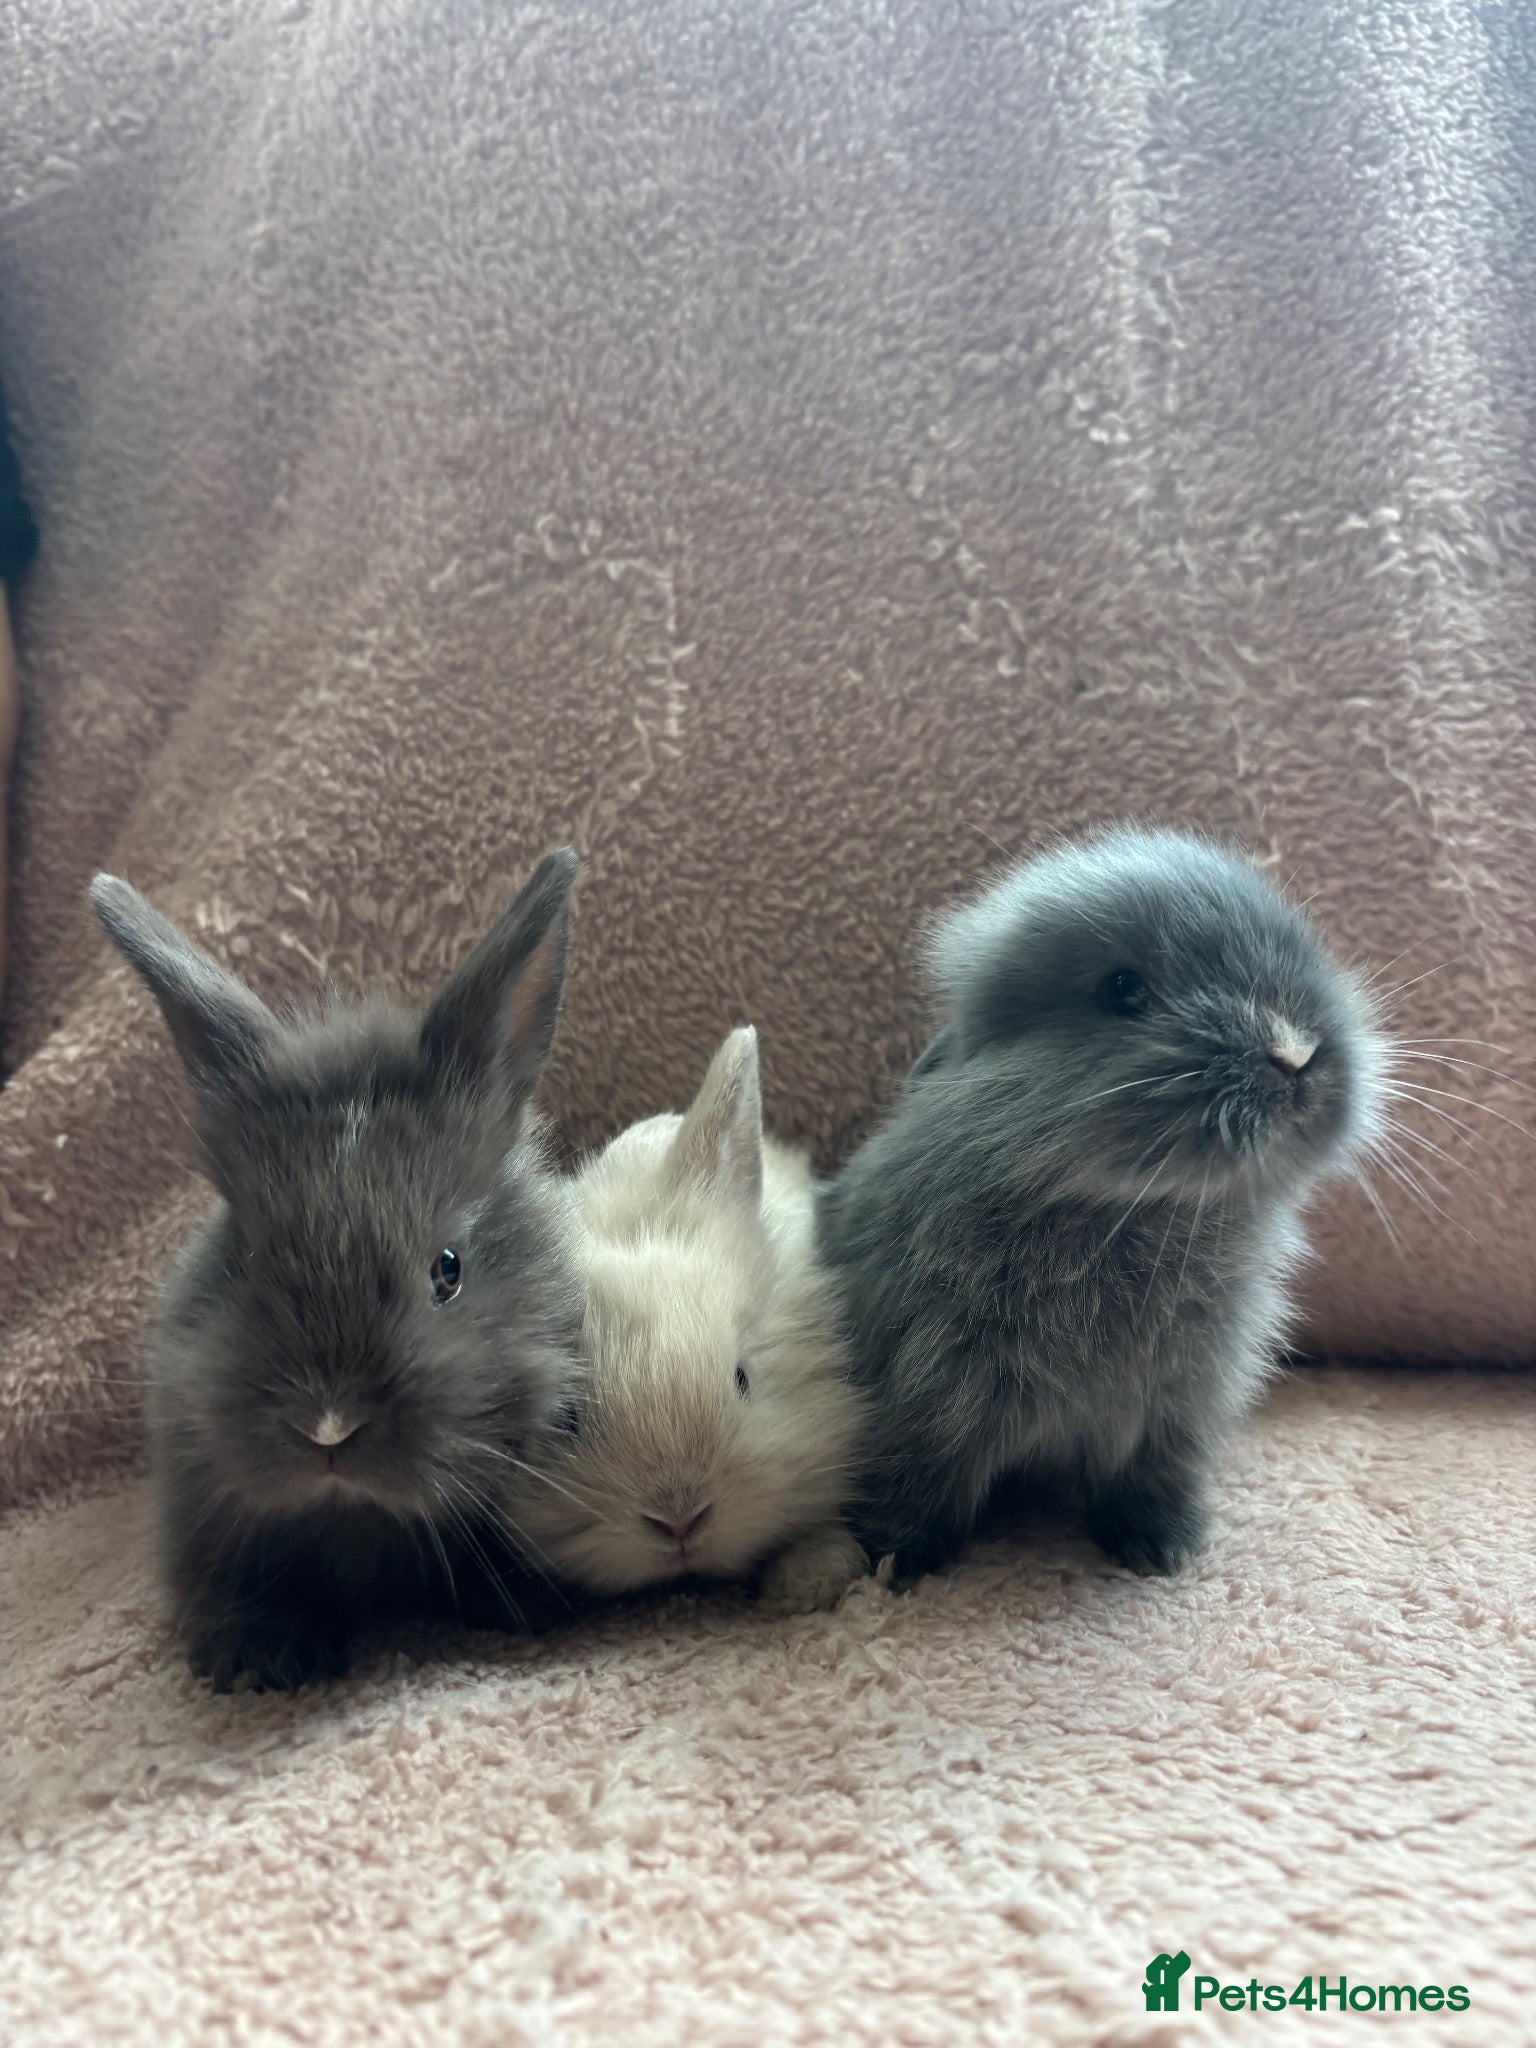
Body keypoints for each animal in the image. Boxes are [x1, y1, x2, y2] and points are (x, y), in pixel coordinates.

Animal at [816, 825, 1387, 1581]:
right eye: (1123, 992)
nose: (1295, 1051)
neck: (1134, 1214)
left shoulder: (1178, 1409)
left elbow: (1152, 1478)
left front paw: (1163, 1549)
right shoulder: (929, 1398)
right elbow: (921, 1480)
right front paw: (894, 1564)